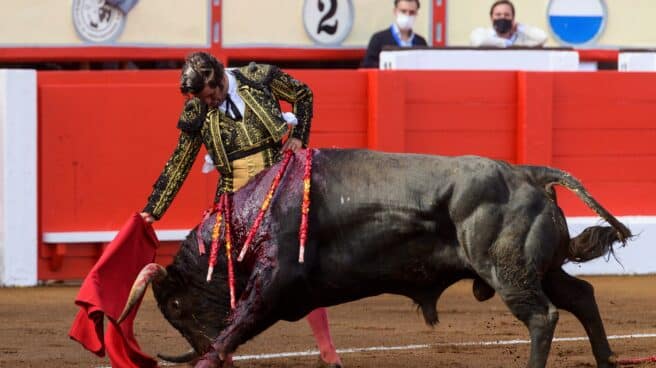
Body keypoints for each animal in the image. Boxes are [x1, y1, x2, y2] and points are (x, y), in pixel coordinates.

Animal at [119, 150, 632, 368]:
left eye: (176, 306)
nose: (199, 344)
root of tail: (529, 172)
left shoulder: (274, 282)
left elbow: (237, 325)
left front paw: (211, 359)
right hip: (539, 269)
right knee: (580, 295)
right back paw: (607, 359)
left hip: (508, 271)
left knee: (544, 316)